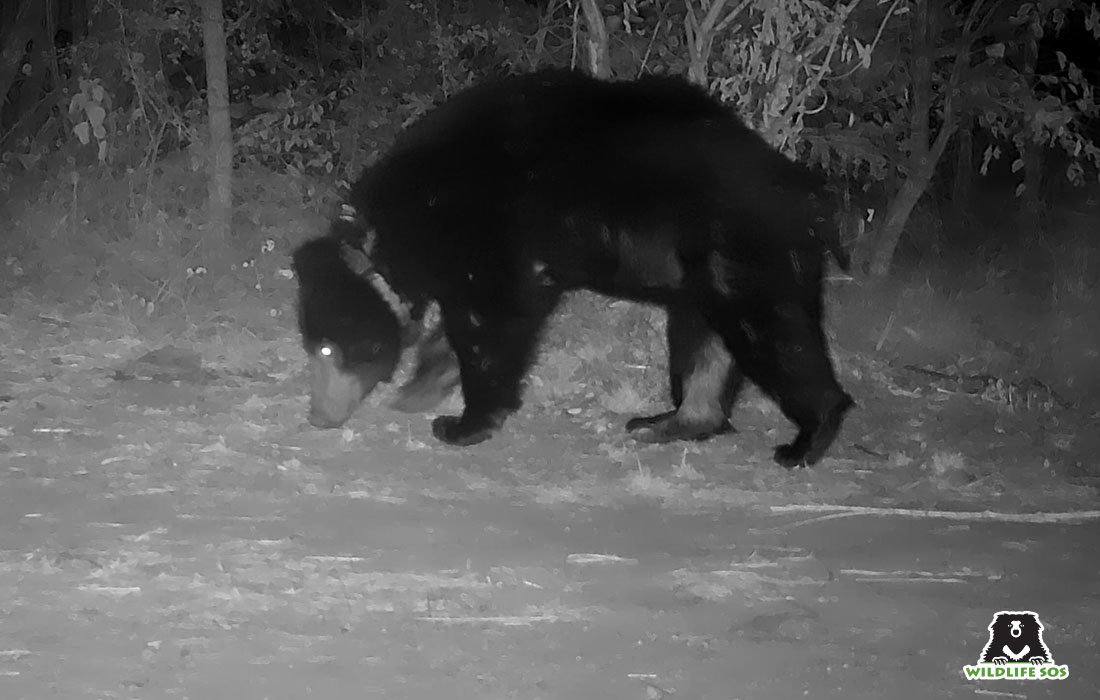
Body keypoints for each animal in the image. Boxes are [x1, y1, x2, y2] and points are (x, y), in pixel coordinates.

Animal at [290, 68, 849, 466]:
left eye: (326, 348)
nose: (315, 416)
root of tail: (811, 195)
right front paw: (421, 388)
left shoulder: (488, 227)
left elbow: (491, 322)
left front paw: (463, 423)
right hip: (702, 273)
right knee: (704, 345)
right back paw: (668, 422)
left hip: (744, 254)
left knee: (774, 335)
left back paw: (807, 439)